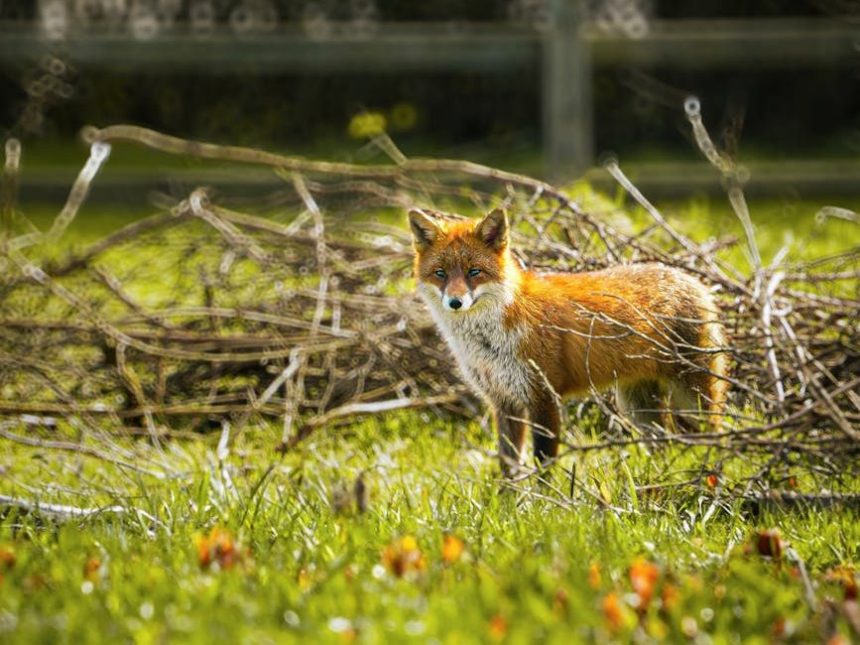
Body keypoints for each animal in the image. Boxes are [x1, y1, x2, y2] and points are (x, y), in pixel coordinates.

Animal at [408, 207, 730, 477]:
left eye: (474, 272)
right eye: (440, 274)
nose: (455, 302)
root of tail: (695, 280)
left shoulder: (544, 397)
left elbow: (543, 464)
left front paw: (542, 505)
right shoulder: (504, 401)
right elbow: (509, 468)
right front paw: (508, 504)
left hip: (693, 398)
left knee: (716, 437)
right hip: (639, 407)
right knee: (666, 445)